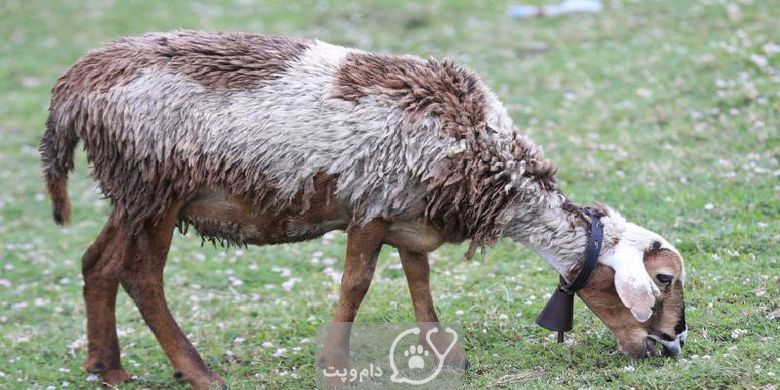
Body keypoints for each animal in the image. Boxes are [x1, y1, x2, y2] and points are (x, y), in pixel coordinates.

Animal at [39, 31, 684, 390]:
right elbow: (358, 285)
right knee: (141, 277)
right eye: (664, 279)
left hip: (132, 191)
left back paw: (108, 368)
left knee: (98, 263)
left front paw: (440, 353)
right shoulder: (372, 207)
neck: (486, 166)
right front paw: (336, 366)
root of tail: (73, 87)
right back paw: (197, 373)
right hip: (156, 185)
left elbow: (419, 280)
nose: (671, 345)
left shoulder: (409, 213)